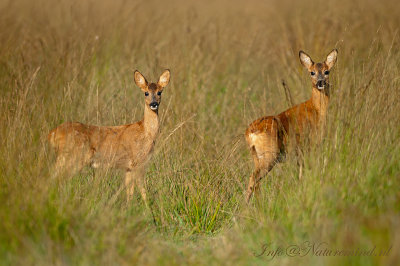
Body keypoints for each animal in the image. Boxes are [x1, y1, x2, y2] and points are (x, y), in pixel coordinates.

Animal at [48, 69, 170, 201]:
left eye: (159, 92)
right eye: (146, 93)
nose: (154, 103)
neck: (146, 132)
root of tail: (52, 133)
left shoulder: (128, 167)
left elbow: (130, 191)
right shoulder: (137, 162)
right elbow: (142, 188)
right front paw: (147, 205)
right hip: (72, 157)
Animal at [245, 49, 336, 202]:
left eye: (327, 71)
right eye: (312, 72)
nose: (320, 82)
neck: (317, 109)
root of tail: (250, 132)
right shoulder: (312, 144)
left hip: (256, 155)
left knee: (256, 181)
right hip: (270, 154)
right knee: (253, 178)